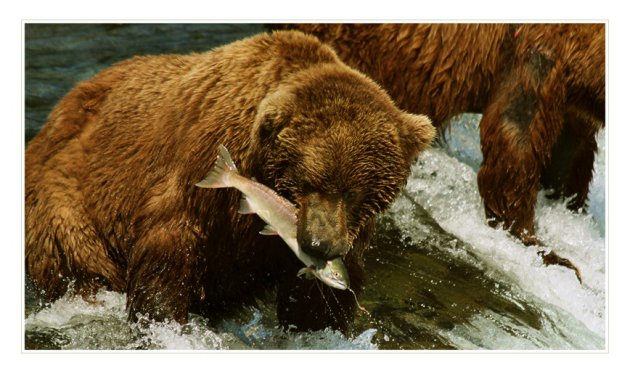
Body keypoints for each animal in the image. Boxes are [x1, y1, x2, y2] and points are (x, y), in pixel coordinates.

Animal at [25, 30, 440, 334]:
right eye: (310, 183)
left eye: (354, 191)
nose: (321, 245)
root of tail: (57, 113)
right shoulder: (200, 173)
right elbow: (168, 250)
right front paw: (163, 324)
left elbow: (316, 298)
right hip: (68, 197)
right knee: (77, 255)